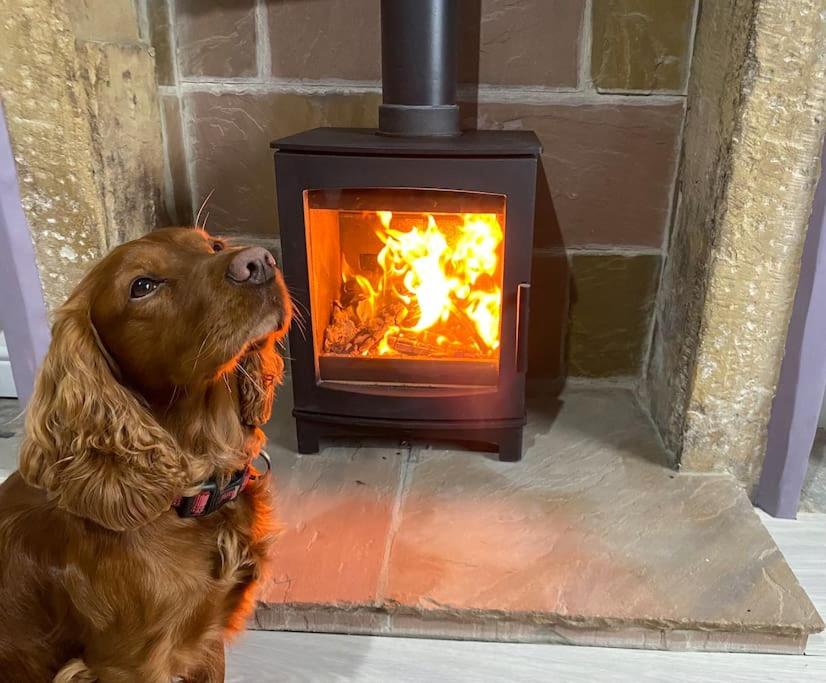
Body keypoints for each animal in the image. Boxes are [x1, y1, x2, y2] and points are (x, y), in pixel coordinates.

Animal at [0, 227, 290, 680]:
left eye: (214, 246)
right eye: (142, 286)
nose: (259, 262)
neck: (190, 498)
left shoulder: (205, 642)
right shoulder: (129, 664)